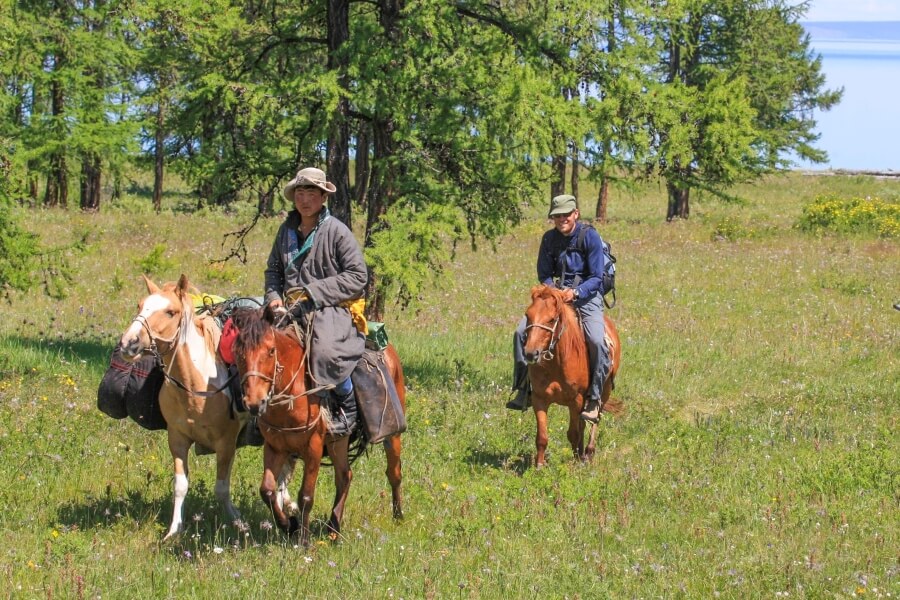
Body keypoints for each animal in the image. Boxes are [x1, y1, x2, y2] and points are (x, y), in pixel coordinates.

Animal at [118, 276, 250, 540]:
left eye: (171, 312)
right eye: (140, 305)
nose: (129, 343)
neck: (195, 387)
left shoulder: (227, 443)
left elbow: (222, 488)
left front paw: (237, 521)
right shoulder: (177, 439)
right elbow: (180, 486)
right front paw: (174, 530)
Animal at [230, 308, 406, 548]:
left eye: (271, 350)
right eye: (238, 352)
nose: (255, 403)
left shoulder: (312, 446)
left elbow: (306, 495)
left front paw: (303, 540)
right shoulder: (275, 447)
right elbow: (267, 490)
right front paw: (289, 525)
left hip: (392, 434)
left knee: (394, 473)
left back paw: (398, 516)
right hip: (337, 441)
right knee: (344, 475)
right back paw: (333, 528)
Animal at [520, 286, 620, 468]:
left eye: (551, 319)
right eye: (528, 315)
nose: (530, 353)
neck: (557, 363)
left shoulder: (576, 401)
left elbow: (573, 433)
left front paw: (574, 464)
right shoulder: (539, 399)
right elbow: (542, 437)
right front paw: (539, 466)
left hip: (604, 392)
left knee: (595, 419)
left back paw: (588, 453)